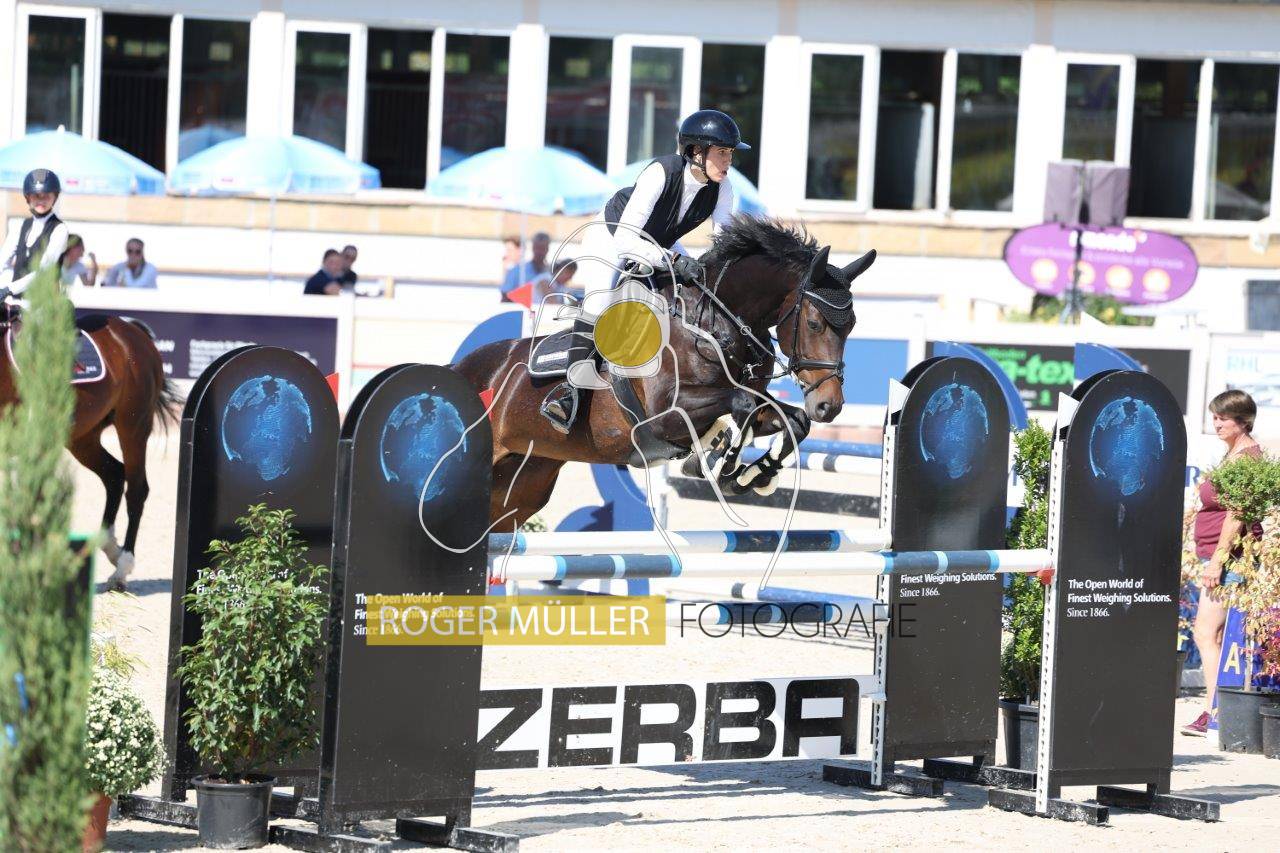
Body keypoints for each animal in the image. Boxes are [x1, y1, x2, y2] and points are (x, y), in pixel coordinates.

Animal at [0, 309, 181, 590]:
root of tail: (130, 329)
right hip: (82, 438)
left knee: (136, 489)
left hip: (133, 426)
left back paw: (122, 568)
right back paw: (110, 547)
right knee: (114, 474)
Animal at [453, 217, 876, 528]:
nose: (830, 406)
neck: (713, 324)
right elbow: (740, 404)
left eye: (852, 325)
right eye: (815, 323)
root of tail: (457, 369)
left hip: (524, 484)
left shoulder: (751, 400)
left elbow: (791, 420)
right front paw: (722, 462)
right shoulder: (663, 414)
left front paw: (754, 474)